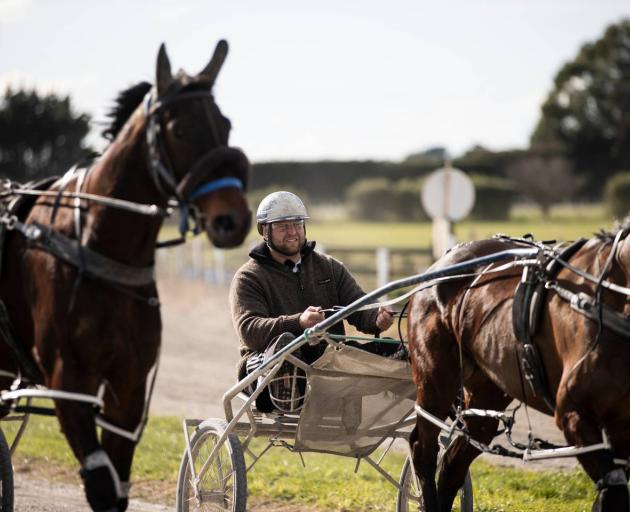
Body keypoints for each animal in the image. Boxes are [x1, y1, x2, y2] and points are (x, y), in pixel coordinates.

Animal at [0, 41, 251, 512]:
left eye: (225, 124)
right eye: (179, 130)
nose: (233, 219)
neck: (98, 246)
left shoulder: (130, 387)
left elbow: (116, 485)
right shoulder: (67, 383)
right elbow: (101, 485)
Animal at [408, 222, 630, 512]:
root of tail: (441, 263)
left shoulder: (621, 427)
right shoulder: (575, 415)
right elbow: (613, 490)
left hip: (486, 391)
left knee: (453, 464)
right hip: (435, 381)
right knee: (423, 448)